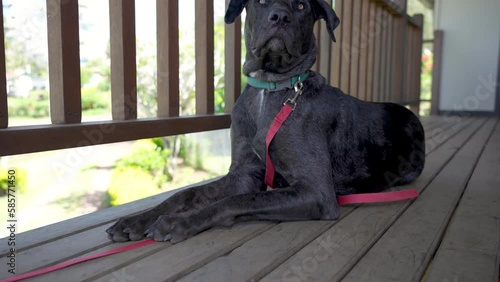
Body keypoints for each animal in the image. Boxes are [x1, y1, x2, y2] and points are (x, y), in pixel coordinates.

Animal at [106, 0, 426, 245]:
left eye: (301, 6)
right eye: (260, 1)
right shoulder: (244, 173)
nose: (280, 17)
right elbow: (189, 193)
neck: (271, 87)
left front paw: (177, 222)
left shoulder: (316, 191)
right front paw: (137, 220)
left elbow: (238, 201)